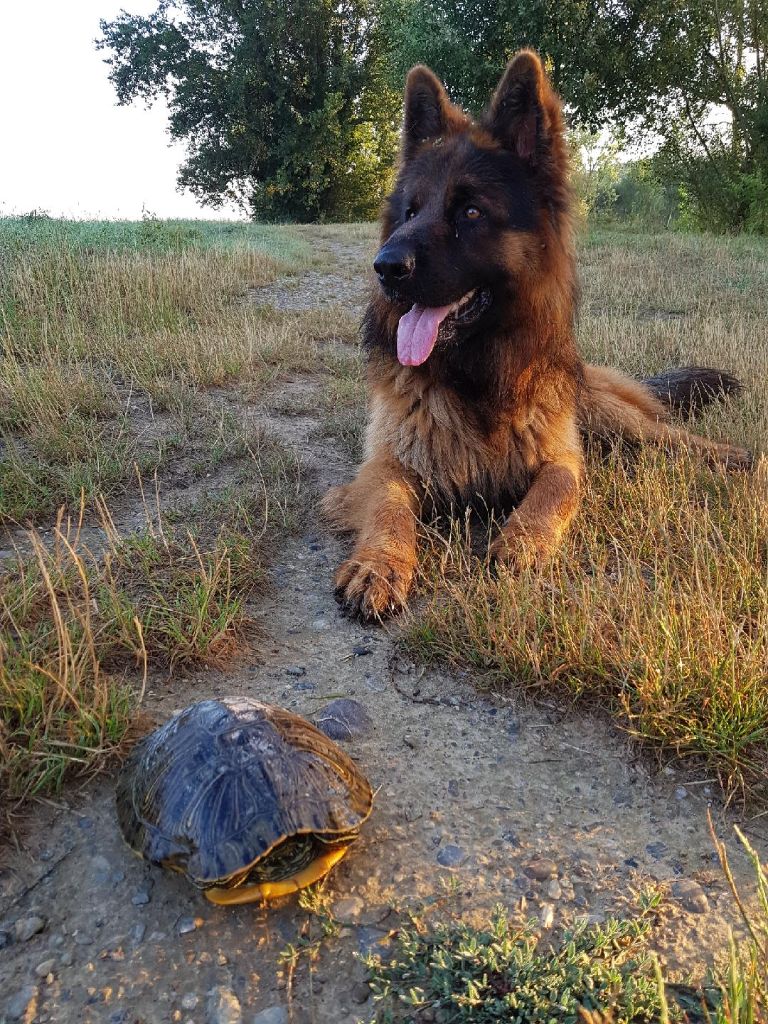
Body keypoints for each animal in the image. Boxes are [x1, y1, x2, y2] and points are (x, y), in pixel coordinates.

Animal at [325, 51, 753, 618]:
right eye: (410, 212)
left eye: (470, 212)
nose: (385, 267)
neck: (476, 375)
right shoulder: (386, 464)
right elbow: (388, 508)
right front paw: (379, 564)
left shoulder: (560, 455)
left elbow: (556, 489)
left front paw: (521, 543)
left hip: (612, 418)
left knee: (669, 435)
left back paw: (733, 455)